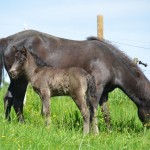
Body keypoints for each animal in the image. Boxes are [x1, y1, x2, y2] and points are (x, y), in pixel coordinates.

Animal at [0, 29, 149, 131]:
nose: (146, 132)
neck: (110, 62)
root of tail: (8, 39)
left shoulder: (104, 93)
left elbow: (106, 114)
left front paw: (109, 132)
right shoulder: (97, 89)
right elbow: (93, 110)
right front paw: (94, 133)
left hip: (14, 79)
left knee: (8, 98)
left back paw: (8, 122)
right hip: (20, 81)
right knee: (17, 102)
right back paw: (22, 124)